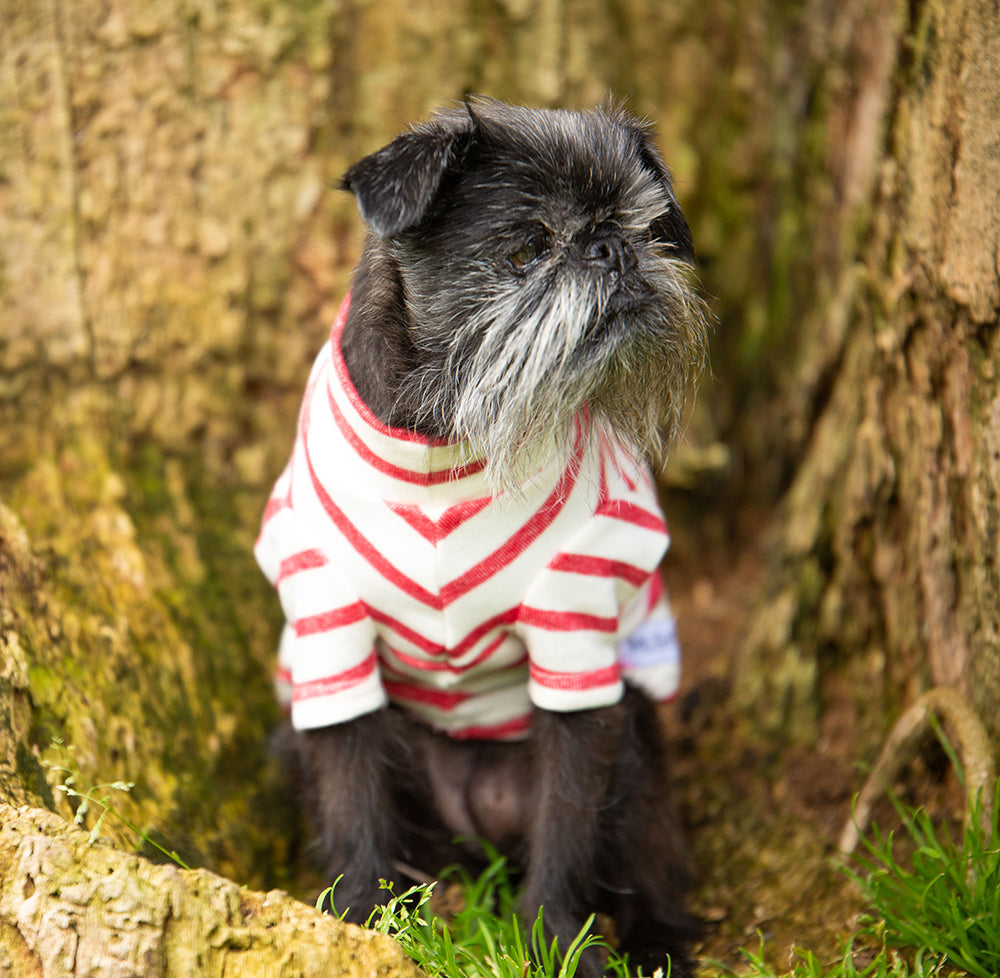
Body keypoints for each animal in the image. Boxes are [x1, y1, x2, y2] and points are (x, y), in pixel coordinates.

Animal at [258, 93, 712, 976]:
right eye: (526, 248)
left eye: (644, 226)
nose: (610, 248)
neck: (446, 438)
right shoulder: (330, 632)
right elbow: (352, 799)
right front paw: (357, 918)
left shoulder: (576, 640)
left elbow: (566, 826)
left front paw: (556, 940)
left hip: (636, 741)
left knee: (645, 845)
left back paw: (658, 939)